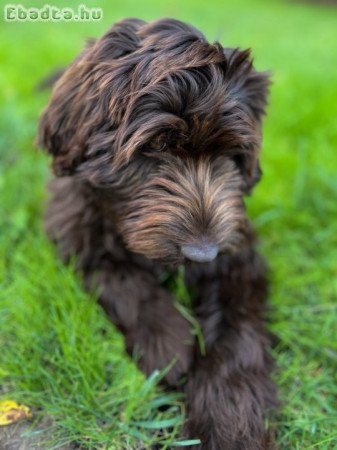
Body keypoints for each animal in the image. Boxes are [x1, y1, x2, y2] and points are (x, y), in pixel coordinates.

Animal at [38, 18, 276, 450]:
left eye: (229, 154)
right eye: (157, 147)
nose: (203, 253)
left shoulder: (238, 249)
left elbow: (238, 321)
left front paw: (230, 418)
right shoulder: (75, 229)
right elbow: (120, 279)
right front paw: (168, 346)